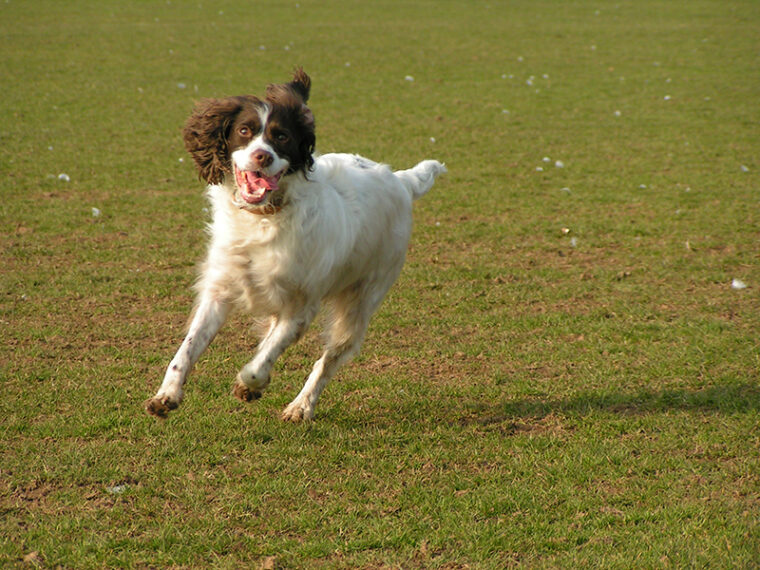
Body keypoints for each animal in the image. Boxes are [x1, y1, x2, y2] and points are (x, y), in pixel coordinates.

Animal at [146, 69, 446, 420]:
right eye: (245, 130)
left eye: (282, 137)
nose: (262, 156)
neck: (265, 217)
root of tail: (400, 180)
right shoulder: (220, 290)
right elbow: (187, 350)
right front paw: (167, 395)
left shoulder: (301, 306)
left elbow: (259, 364)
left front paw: (249, 386)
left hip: (360, 303)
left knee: (328, 360)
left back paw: (301, 406)